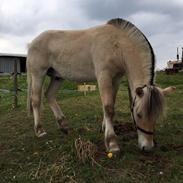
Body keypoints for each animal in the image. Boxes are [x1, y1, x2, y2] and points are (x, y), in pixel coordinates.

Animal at [26, 18, 175, 153]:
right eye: (138, 115)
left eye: (156, 115)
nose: (147, 147)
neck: (117, 45)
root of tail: (32, 42)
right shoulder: (104, 76)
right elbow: (108, 107)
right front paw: (112, 143)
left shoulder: (116, 78)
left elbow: (110, 104)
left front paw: (104, 127)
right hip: (38, 74)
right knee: (36, 100)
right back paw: (39, 130)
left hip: (57, 77)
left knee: (49, 95)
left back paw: (64, 126)